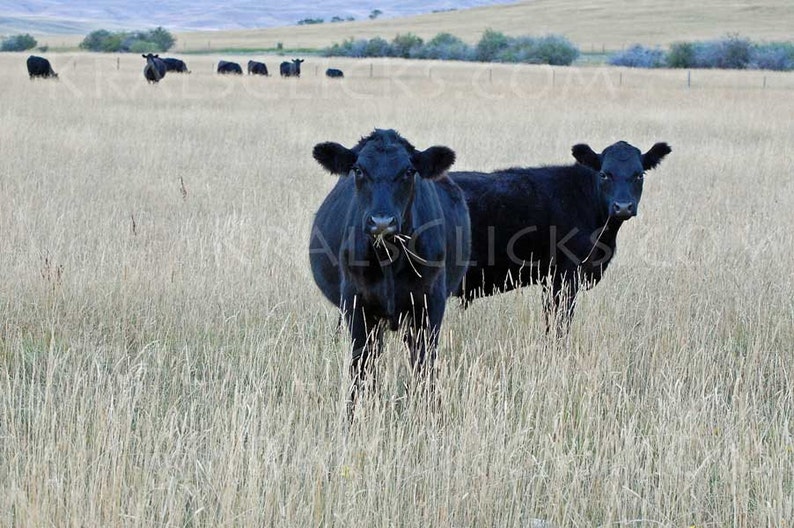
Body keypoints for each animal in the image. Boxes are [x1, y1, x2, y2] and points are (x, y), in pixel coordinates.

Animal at [310, 128, 470, 408]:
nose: (381, 222)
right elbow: (360, 366)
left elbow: (425, 365)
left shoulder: (430, 302)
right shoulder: (356, 303)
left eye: (408, 171)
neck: (389, 258)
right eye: (358, 170)